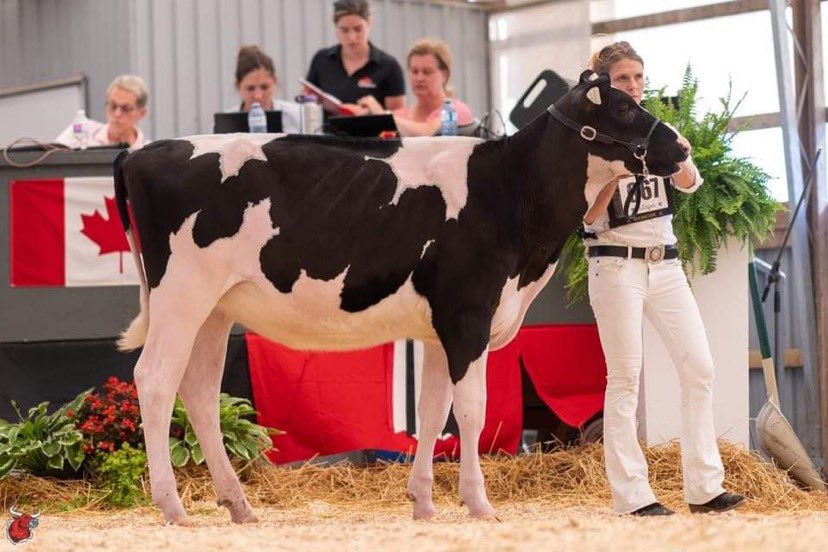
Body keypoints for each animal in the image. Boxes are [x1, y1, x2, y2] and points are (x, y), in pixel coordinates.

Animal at [113, 70, 688, 525]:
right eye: (624, 106)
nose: (682, 147)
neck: (508, 189)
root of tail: (142, 150)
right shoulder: (468, 315)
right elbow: (472, 411)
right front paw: (479, 503)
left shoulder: (438, 329)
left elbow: (433, 411)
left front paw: (424, 502)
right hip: (181, 295)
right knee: (156, 380)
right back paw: (173, 507)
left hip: (213, 309)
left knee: (200, 394)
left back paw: (239, 505)